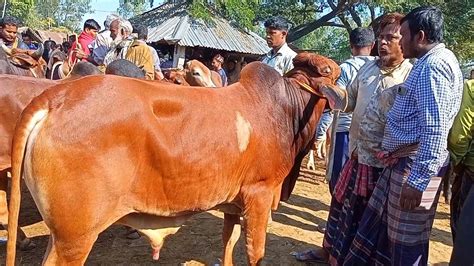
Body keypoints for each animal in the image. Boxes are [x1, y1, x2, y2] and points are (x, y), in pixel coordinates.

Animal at [5, 53, 342, 264]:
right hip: (75, 238)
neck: (286, 111)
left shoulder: (234, 204)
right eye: (331, 73)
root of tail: (56, 98)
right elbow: (254, 252)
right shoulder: (259, 195)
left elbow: (228, 243)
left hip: (60, 234)